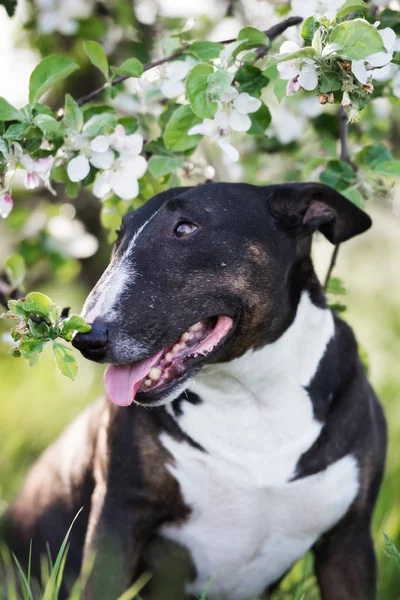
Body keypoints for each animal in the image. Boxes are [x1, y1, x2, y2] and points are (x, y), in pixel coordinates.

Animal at [0, 180, 388, 596]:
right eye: (119, 236)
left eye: (185, 229)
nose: (85, 338)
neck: (250, 399)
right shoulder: (117, 519)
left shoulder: (349, 542)